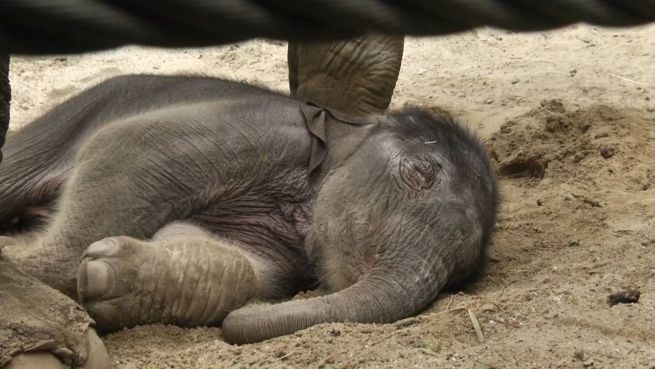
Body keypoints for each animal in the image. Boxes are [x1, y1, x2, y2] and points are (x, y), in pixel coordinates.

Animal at [0, 74, 498, 344]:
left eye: (461, 273)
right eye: (420, 173)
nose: (233, 325)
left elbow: (219, 252)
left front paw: (105, 276)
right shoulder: (261, 132)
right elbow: (128, 148)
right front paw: (16, 264)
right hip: (73, 115)